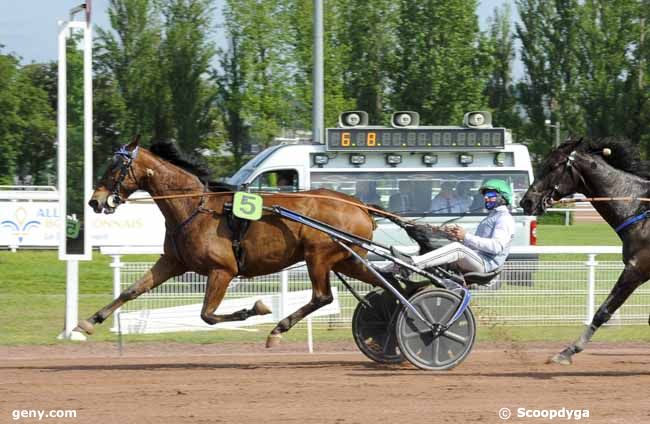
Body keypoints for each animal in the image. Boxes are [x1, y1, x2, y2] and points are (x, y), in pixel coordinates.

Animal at [77, 138, 380, 344]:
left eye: (115, 167)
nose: (95, 201)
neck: (194, 207)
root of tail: (359, 205)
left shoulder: (222, 270)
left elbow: (207, 315)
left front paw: (254, 309)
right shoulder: (173, 262)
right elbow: (132, 291)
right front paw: (88, 322)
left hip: (319, 256)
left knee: (322, 296)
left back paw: (278, 329)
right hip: (347, 260)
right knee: (386, 282)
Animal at [520, 137, 648, 364]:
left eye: (552, 166)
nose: (526, 201)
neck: (638, 208)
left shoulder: (636, 269)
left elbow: (603, 311)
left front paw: (567, 351)